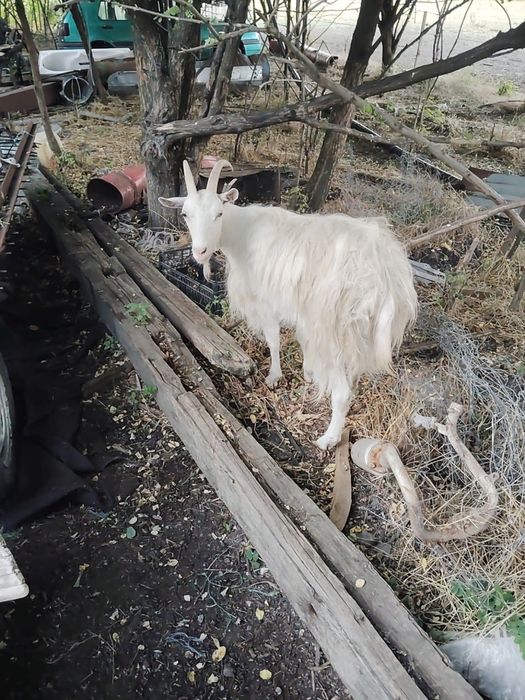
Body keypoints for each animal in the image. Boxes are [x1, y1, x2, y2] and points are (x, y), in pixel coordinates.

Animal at [160, 160, 418, 450]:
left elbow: (274, 340)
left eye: (219, 213)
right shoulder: (300, 310)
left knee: (342, 392)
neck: (243, 233)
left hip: (335, 329)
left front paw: (274, 377)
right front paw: (308, 373)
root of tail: (385, 275)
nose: (199, 252)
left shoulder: (267, 302)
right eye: (185, 214)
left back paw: (329, 438)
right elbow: (301, 340)